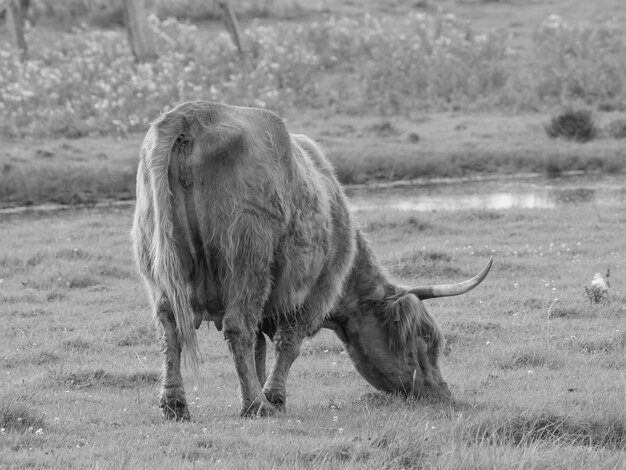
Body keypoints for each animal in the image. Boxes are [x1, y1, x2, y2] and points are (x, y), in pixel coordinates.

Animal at [130, 100, 492, 418]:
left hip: (157, 261)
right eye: (422, 342)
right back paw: (255, 406)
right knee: (237, 327)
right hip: (247, 258)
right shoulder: (311, 296)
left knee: (170, 327)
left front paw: (262, 389)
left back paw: (176, 406)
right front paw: (274, 398)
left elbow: (260, 350)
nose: (443, 392)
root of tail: (191, 114)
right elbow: (287, 345)